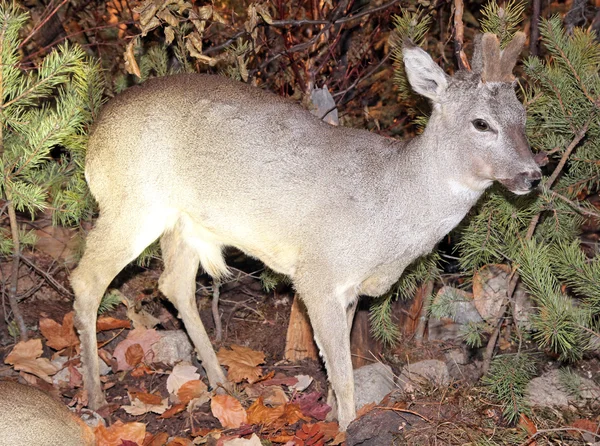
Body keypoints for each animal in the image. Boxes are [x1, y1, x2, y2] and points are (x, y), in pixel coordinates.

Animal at [70, 31, 540, 428]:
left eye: (523, 115)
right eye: (482, 123)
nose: (533, 175)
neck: (391, 205)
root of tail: (93, 139)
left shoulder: (349, 288)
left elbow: (340, 360)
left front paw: (331, 413)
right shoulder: (318, 273)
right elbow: (343, 370)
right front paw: (349, 426)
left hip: (183, 222)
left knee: (173, 284)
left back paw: (221, 383)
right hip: (132, 205)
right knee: (87, 279)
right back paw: (95, 397)